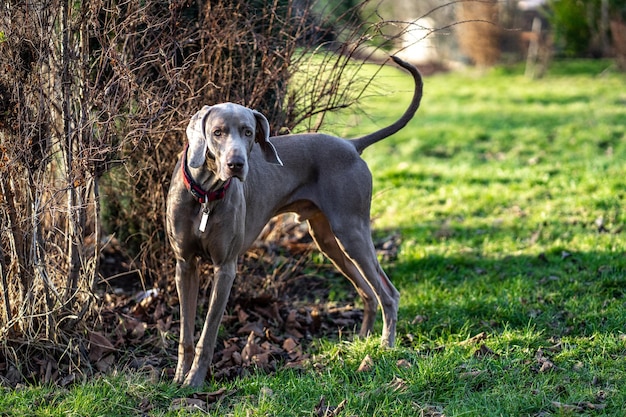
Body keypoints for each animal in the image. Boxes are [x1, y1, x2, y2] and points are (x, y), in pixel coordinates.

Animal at [166, 56, 422, 386]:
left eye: (248, 132)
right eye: (218, 132)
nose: (236, 164)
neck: (206, 193)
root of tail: (352, 144)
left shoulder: (225, 268)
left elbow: (208, 333)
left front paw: (195, 381)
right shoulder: (185, 264)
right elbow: (186, 332)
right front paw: (179, 378)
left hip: (351, 230)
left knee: (388, 293)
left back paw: (385, 346)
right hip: (328, 239)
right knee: (367, 291)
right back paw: (361, 341)